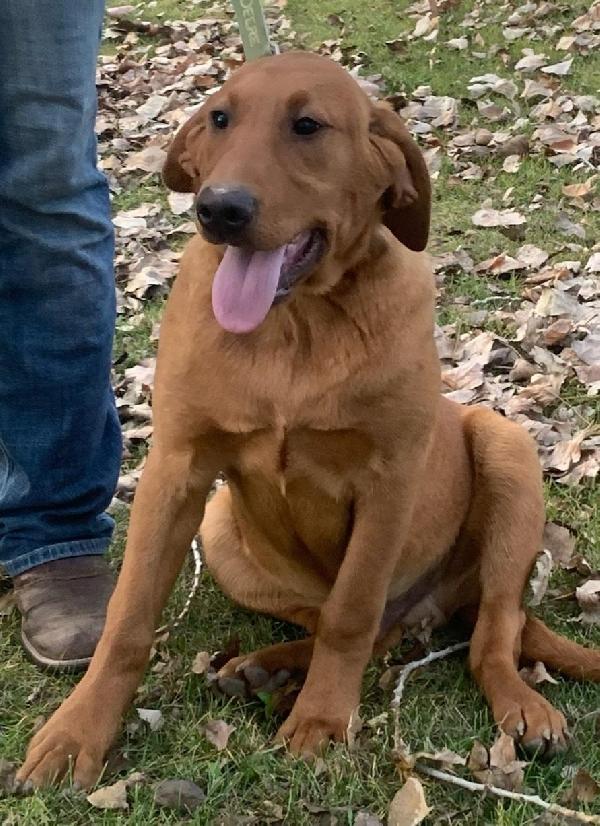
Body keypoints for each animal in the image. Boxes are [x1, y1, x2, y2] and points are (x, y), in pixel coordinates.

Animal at [18, 51, 600, 784]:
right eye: (220, 119)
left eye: (307, 126)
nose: (219, 208)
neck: (293, 326)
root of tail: (438, 606)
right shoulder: (176, 468)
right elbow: (128, 617)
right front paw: (78, 732)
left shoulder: (389, 479)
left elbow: (351, 614)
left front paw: (322, 719)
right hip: (222, 532)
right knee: (359, 628)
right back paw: (264, 669)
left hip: (507, 449)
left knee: (487, 634)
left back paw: (521, 706)